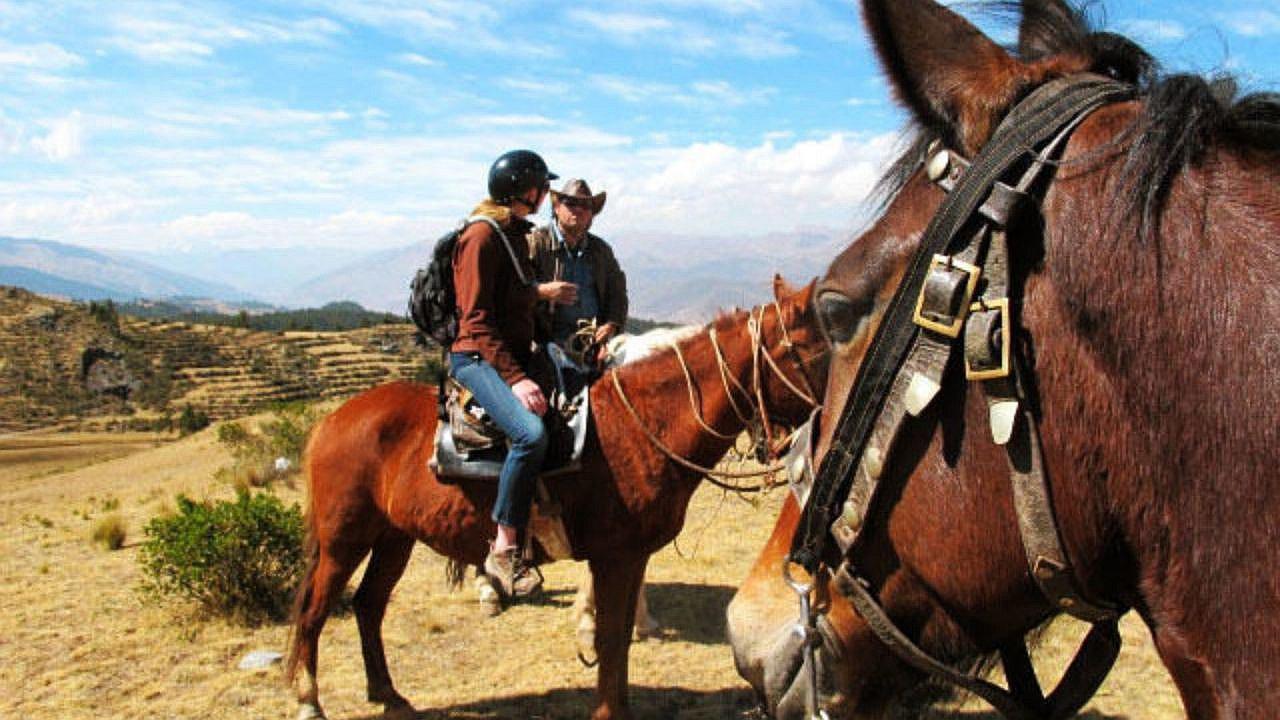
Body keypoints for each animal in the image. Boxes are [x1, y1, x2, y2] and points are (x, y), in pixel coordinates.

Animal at [285, 276, 828, 720]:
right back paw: (310, 702)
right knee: (313, 612)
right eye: (812, 350)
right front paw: (608, 709)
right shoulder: (615, 558)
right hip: (342, 541)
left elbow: (620, 638)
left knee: (368, 606)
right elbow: (608, 637)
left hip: (393, 539)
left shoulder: (630, 559)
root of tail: (330, 422)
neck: (641, 425)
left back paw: (389, 695)